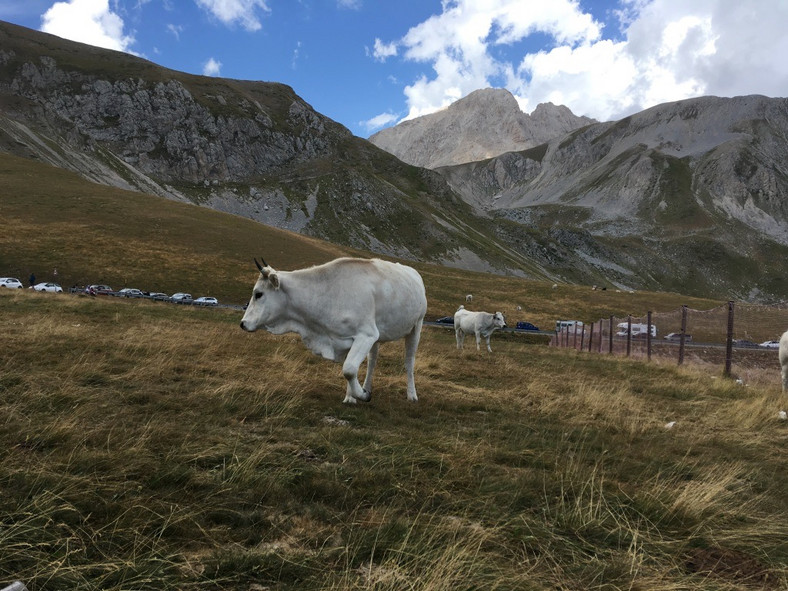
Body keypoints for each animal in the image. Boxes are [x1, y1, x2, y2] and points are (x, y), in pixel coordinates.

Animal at [240, 256, 428, 404]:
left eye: (258, 294)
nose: (242, 323)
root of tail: (413, 272)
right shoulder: (350, 338)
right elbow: (351, 370)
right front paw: (351, 397)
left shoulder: (366, 335)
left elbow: (349, 369)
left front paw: (361, 395)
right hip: (378, 336)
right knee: (372, 362)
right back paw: (367, 386)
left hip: (416, 326)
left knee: (409, 362)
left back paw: (412, 395)